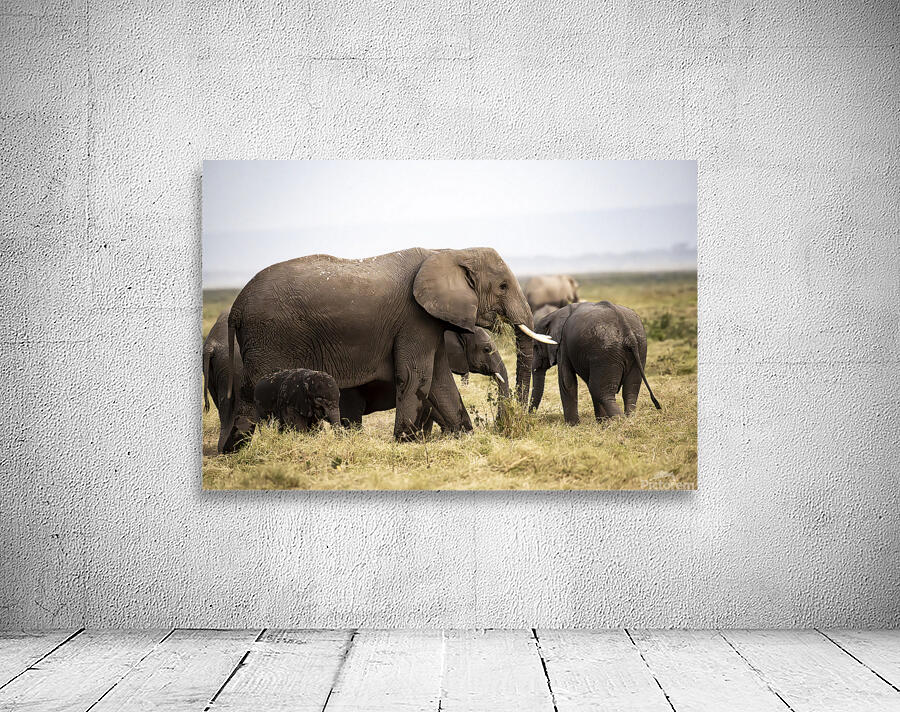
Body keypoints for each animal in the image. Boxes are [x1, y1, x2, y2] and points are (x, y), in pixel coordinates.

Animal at [222, 247, 554, 451]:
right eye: (502, 287)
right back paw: (241, 451)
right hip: (269, 338)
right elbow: (417, 376)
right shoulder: (414, 318)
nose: (507, 424)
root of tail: (236, 306)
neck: (448, 251)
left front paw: (464, 436)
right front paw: (405, 442)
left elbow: (439, 380)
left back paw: (232, 451)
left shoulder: (429, 321)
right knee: (253, 393)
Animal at [530, 301, 661, 424]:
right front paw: (601, 422)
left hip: (606, 351)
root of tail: (627, 332)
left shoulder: (563, 346)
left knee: (600, 391)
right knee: (630, 389)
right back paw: (628, 420)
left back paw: (619, 423)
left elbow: (567, 382)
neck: (555, 314)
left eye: (535, 347)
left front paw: (573, 425)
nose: (529, 415)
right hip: (639, 347)